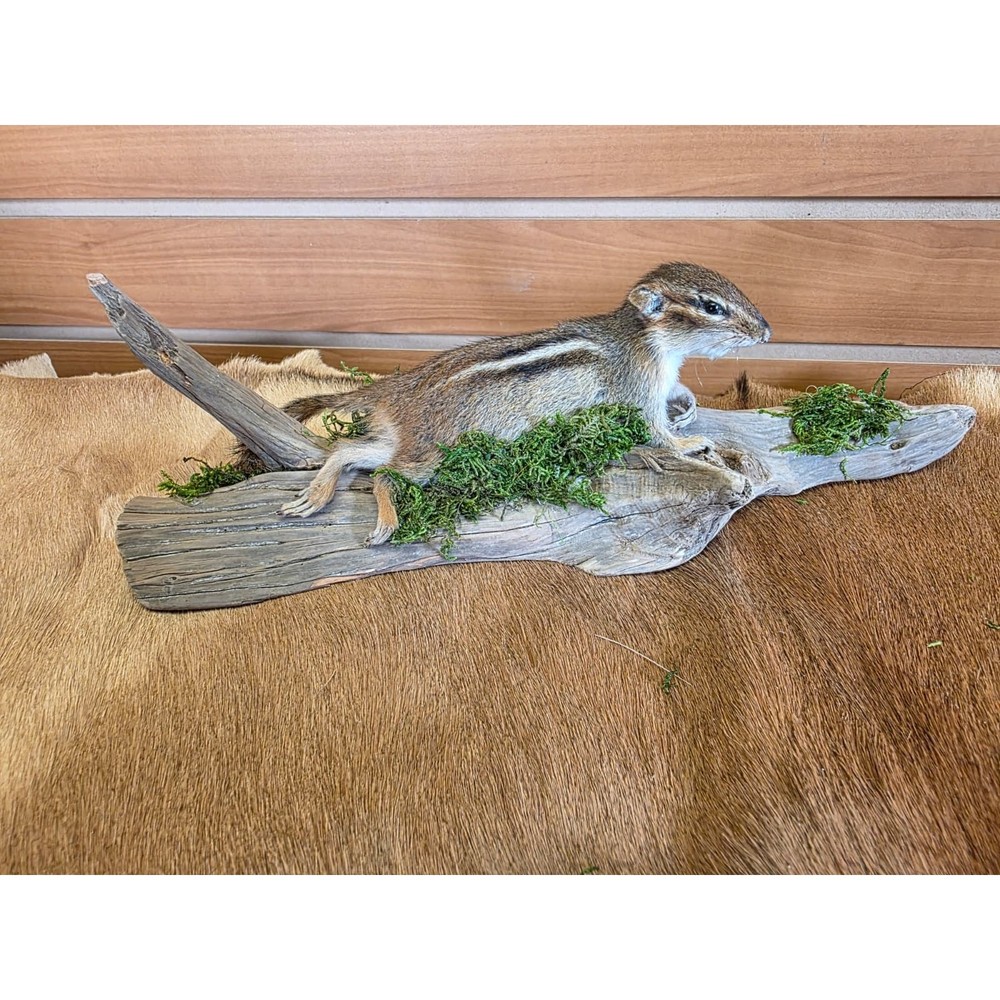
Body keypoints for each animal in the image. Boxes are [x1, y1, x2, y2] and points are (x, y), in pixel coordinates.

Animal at [231, 261, 771, 546]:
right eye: (711, 306)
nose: (767, 331)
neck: (650, 342)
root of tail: (396, 391)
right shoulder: (635, 392)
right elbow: (655, 432)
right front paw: (690, 443)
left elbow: (678, 399)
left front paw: (689, 405)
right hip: (434, 456)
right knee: (382, 474)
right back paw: (384, 523)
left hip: (404, 442)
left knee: (349, 453)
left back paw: (315, 495)